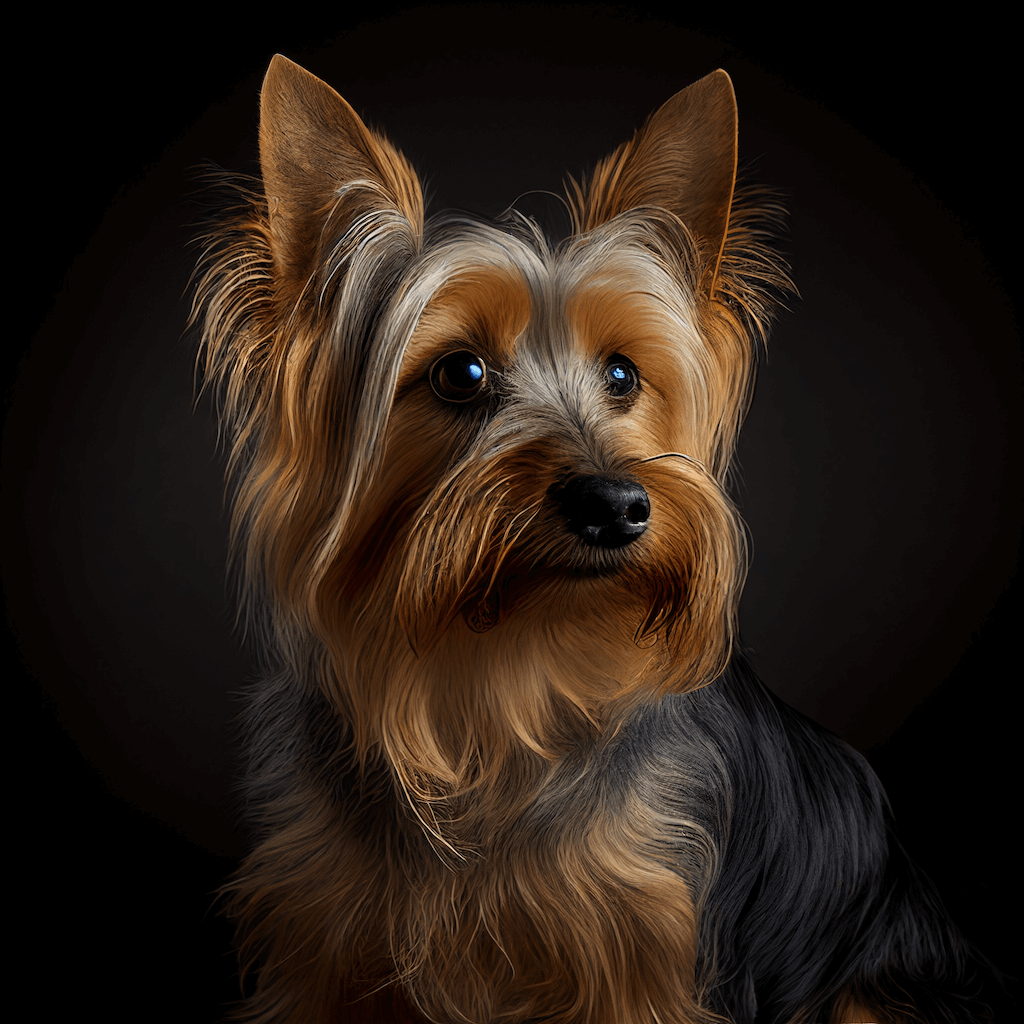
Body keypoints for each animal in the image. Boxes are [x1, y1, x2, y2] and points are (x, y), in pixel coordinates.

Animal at [188, 54, 987, 1024]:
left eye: (622, 374)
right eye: (460, 373)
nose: (616, 502)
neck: (501, 679)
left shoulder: (642, 951)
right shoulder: (322, 944)